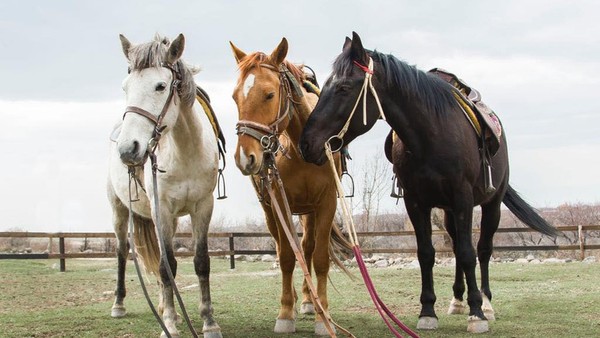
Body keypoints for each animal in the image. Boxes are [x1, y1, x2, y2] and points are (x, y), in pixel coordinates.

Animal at [106, 33, 221, 338]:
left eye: (160, 86)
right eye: (126, 87)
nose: (128, 149)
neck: (185, 151)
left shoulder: (203, 206)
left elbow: (200, 262)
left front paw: (208, 321)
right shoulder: (163, 211)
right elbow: (166, 264)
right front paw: (168, 323)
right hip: (119, 211)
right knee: (122, 252)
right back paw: (119, 304)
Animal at [229, 38, 352, 334]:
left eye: (269, 94)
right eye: (235, 97)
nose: (245, 157)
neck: (301, 149)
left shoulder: (326, 203)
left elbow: (319, 257)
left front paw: (323, 315)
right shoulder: (278, 202)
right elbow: (286, 257)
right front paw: (285, 313)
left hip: (309, 212)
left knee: (306, 248)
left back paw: (309, 301)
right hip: (270, 210)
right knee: (283, 247)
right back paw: (297, 301)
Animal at [300, 31, 556, 332]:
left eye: (343, 88)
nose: (306, 143)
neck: (431, 135)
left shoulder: (463, 199)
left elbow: (469, 252)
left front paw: (477, 314)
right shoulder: (416, 202)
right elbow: (427, 253)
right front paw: (428, 311)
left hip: (490, 204)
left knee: (483, 249)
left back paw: (485, 303)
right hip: (447, 211)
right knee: (456, 246)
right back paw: (457, 300)